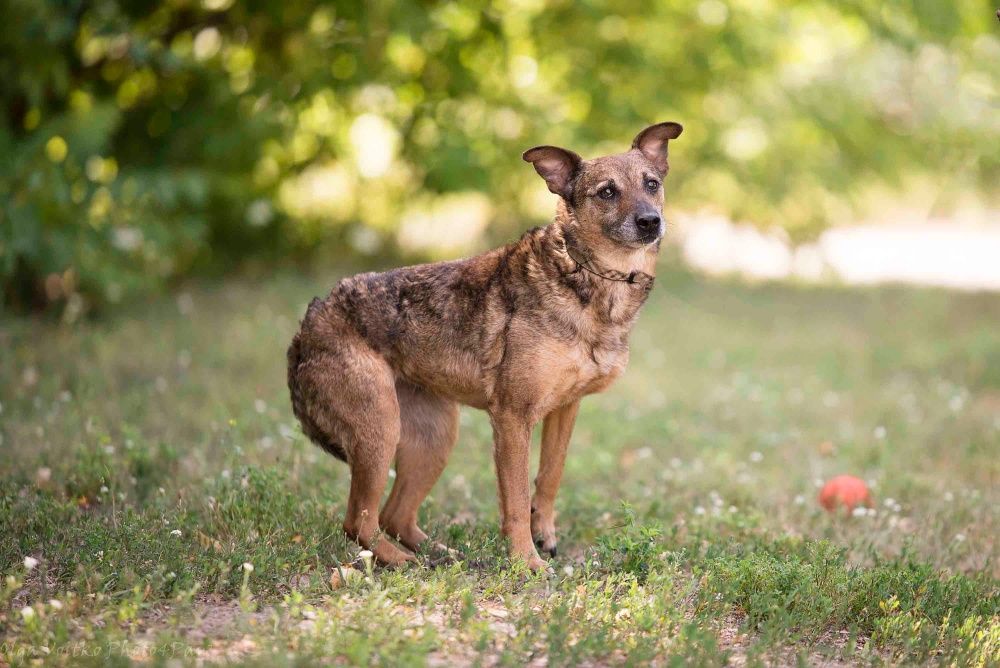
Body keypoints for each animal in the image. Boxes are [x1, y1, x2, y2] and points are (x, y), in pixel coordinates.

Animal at [286, 122, 684, 572]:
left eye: (651, 184)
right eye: (607, 192)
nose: (650, 221)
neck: (589, 275)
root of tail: (307, 326)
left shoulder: (566, 409)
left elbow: (550, 475)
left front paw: (544, 533)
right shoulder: (512, 416)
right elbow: (516, 498)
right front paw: (526, 561)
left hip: (433, 438)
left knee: (394, 515)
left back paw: (441, 556)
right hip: (379, 429)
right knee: (359, 521)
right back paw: (405, 563)